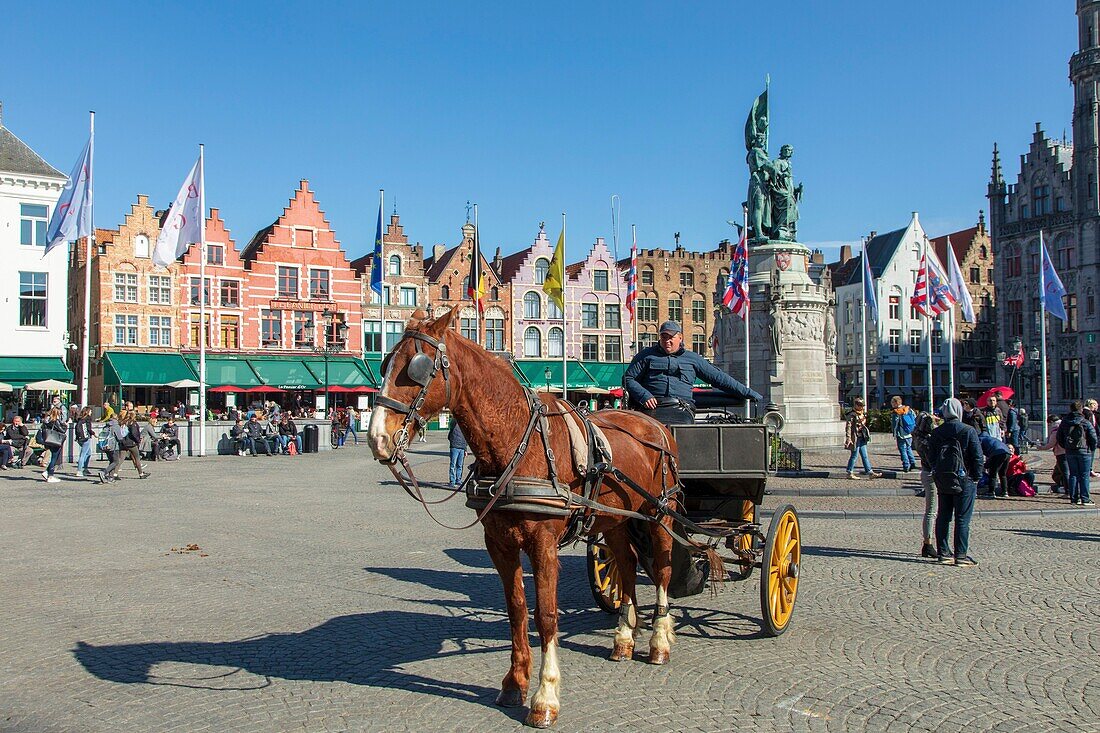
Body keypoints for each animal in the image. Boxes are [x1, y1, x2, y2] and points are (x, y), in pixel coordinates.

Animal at [369, 305, 677, 721]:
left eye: (416, 369)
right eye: (385, 362)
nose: (377, 438)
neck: (516, 441)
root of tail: (654, 422)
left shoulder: (542, 545)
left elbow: (546, 615)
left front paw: (545, 696)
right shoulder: (499, 544)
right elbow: (517, 610)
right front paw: (514, 684)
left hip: (661, 515)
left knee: (661, 570)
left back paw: (659, 642)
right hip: (616, 520)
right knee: (627, 567)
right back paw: (623, 639)